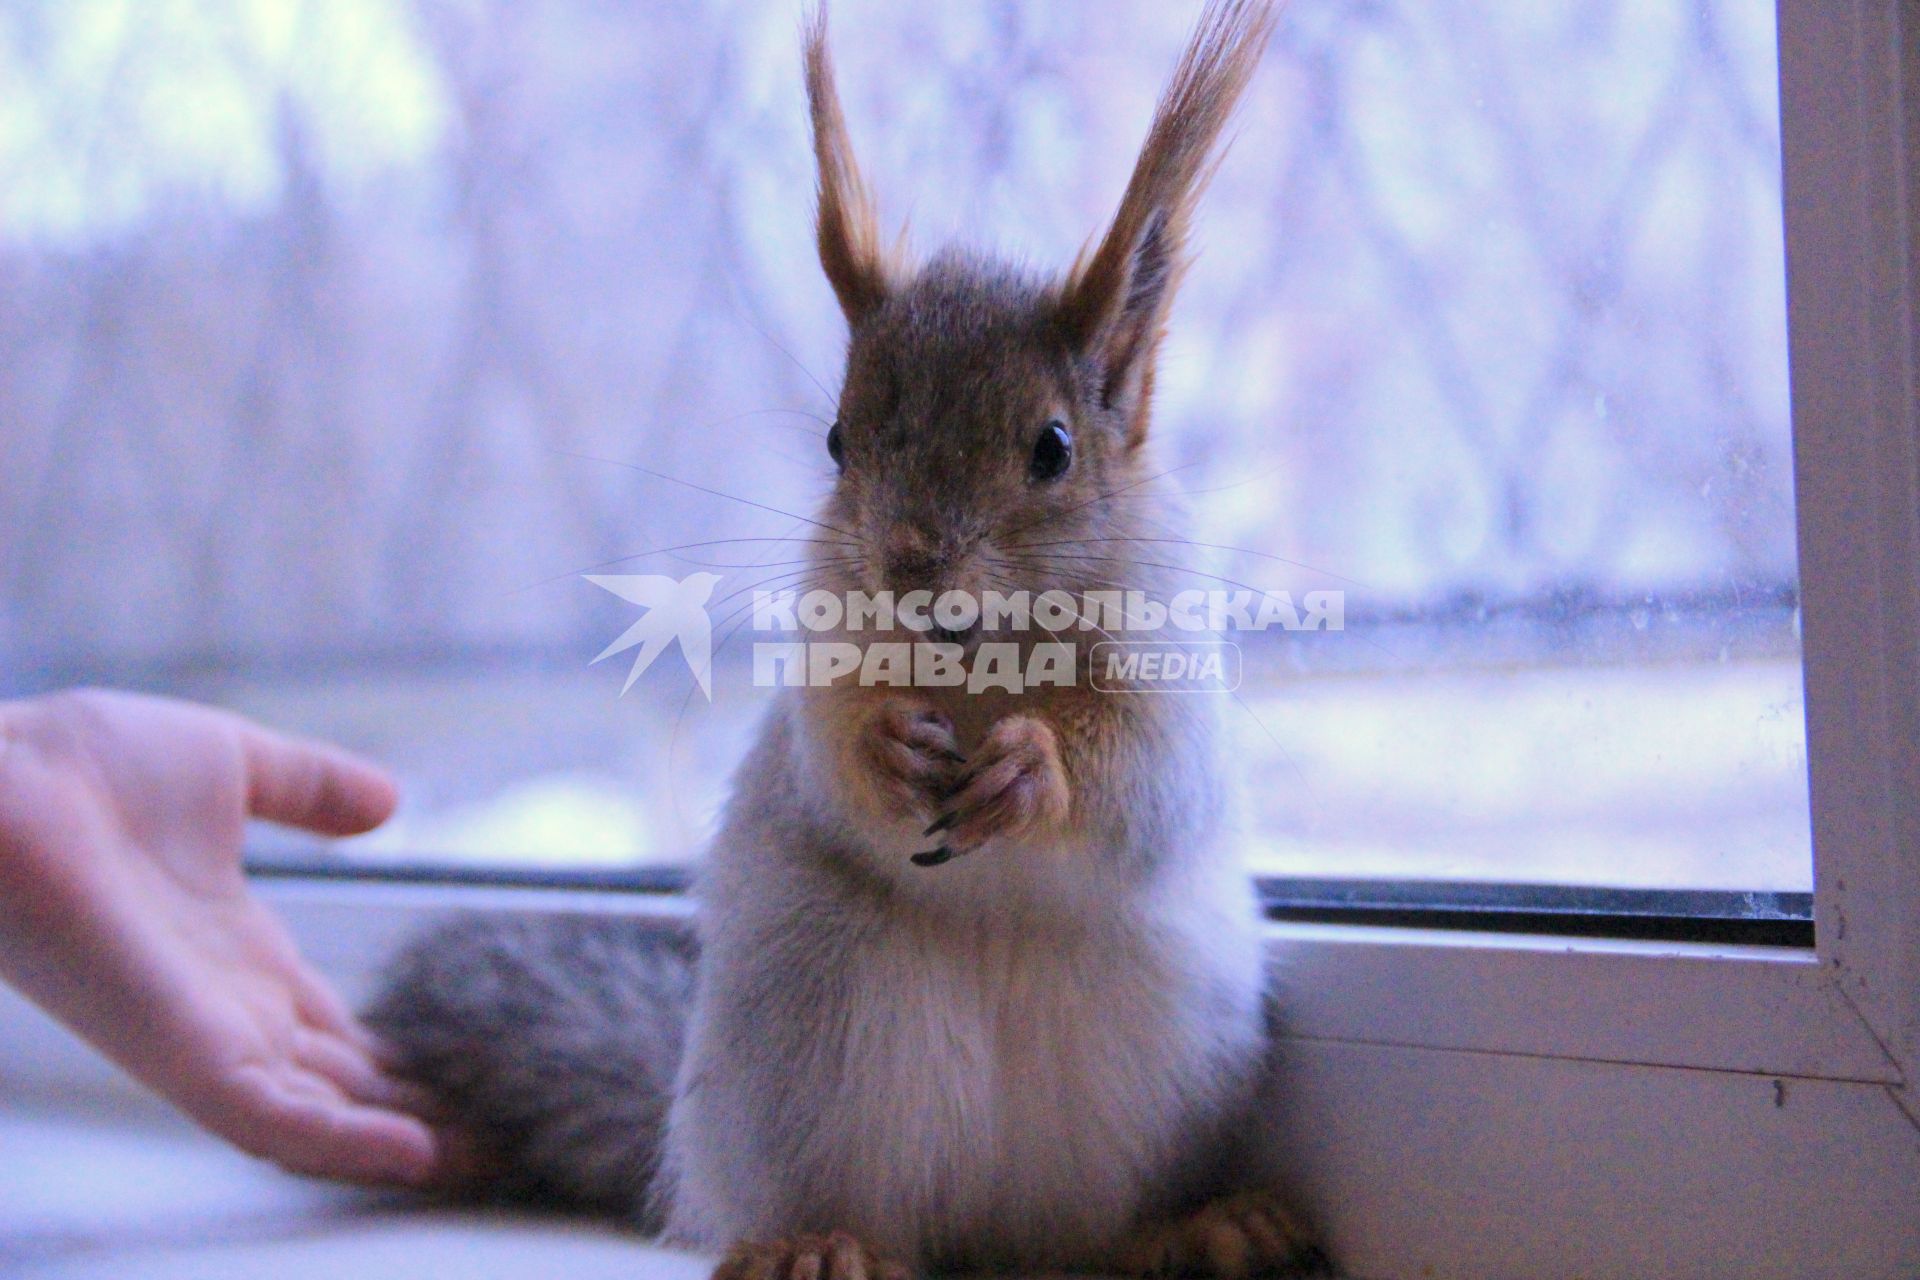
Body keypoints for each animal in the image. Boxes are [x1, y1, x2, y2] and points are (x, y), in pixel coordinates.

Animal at [364, 5, 1320, 1274]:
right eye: (835, 440)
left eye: (1053, 447)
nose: (908, 563)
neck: (977, 655)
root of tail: (995, 1228)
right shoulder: (822, 665)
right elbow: (828, 750)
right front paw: (887, 751)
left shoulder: (1172, 673)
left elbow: (1144, 776)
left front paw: (1033, 766)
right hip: (818, 1031)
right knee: (854, 1206)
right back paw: (816, 1241)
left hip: (1161, 1048)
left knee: (1102, 1229)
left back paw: (1198, 1221)